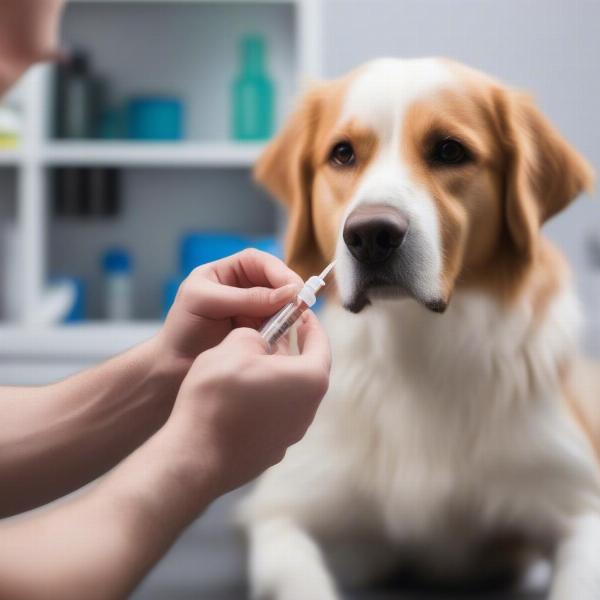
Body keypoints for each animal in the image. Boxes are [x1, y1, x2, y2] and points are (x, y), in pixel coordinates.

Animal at [239, 57, 600, 600]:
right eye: (342, 154)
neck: (415, 346)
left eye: (449, 150)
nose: (370, 235)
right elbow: (300, 576)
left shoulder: (580, 507)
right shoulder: (282, 512)